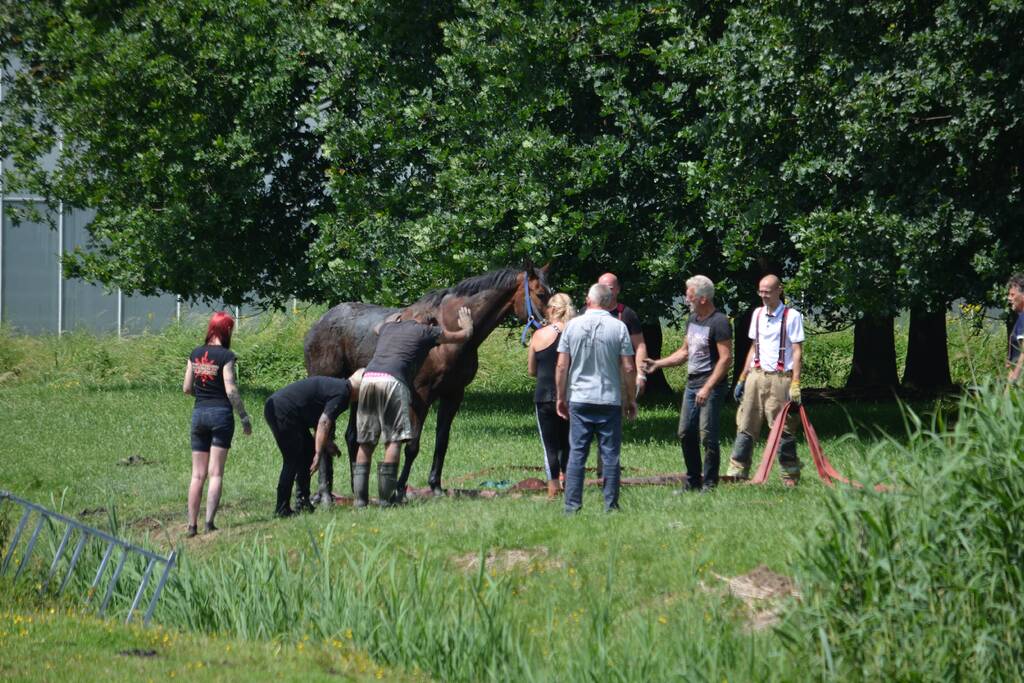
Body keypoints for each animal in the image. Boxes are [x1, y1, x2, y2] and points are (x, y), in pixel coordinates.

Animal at [304, 265, 552, 498]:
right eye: (540, 294)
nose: (551, 326)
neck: (449, 331)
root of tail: (318, 325)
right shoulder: (422, 396)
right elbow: (412, 445)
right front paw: (400, 489)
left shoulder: (453, 395)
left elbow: (441, 442)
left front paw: (436, 487)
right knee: (324, 434)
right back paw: (324, 494)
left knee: (351, 437)